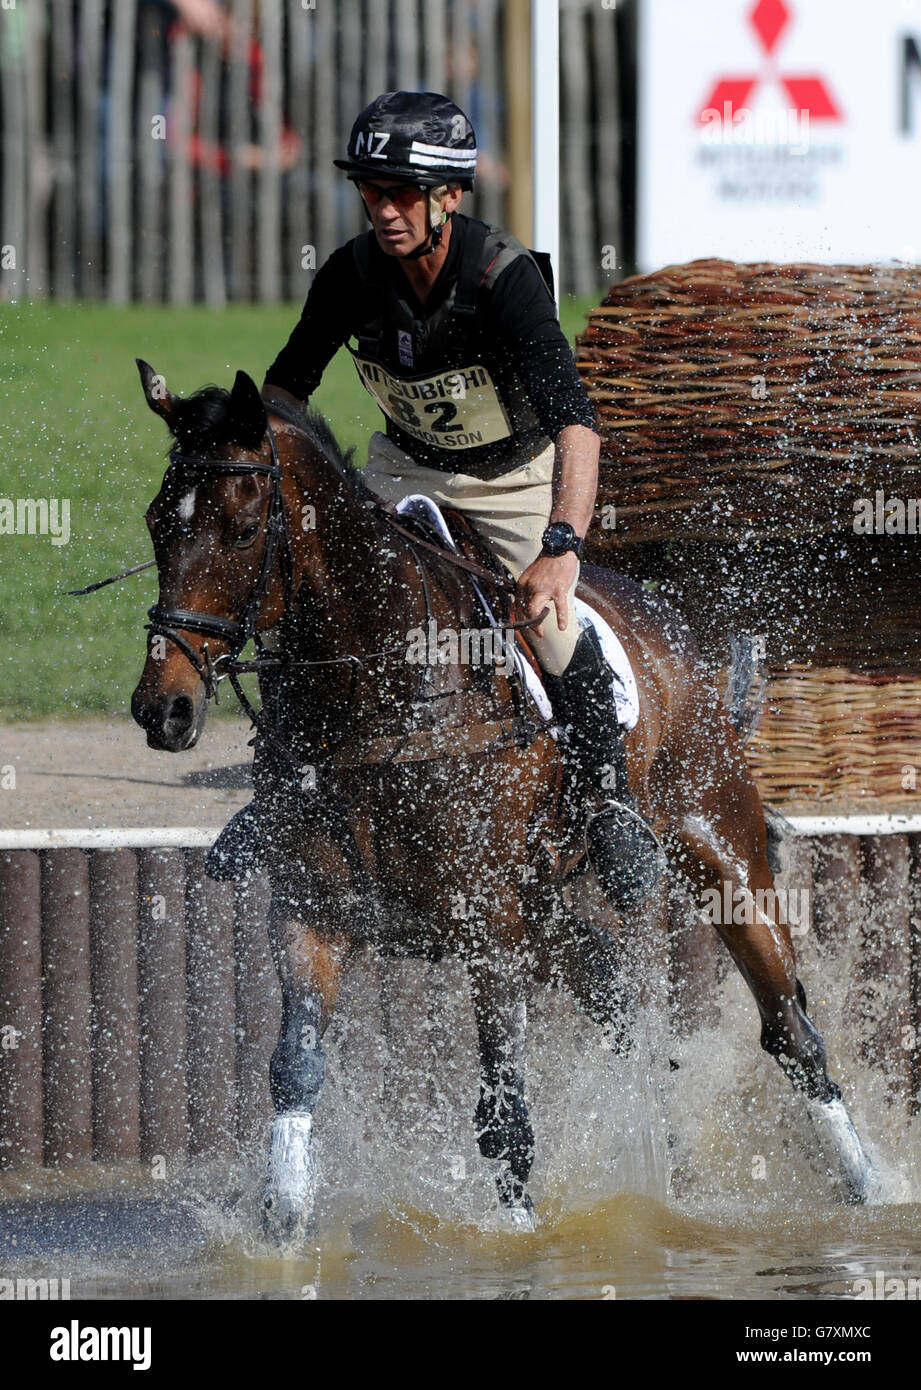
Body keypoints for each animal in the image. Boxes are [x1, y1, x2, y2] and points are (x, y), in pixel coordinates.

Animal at [130, 361, 877, 1241]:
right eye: (155, 524)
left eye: (244, 531)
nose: (163, 709)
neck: (380, 693)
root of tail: (677, 631)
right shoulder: (315, 909)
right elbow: (295, 1069)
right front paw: (282, 1226)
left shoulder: (487, 927)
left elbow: (504, 1115)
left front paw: (520, 1244)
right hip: (545, 912)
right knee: (614, 994)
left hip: (717, 850)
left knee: (790, 1031)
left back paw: (869, 1188)